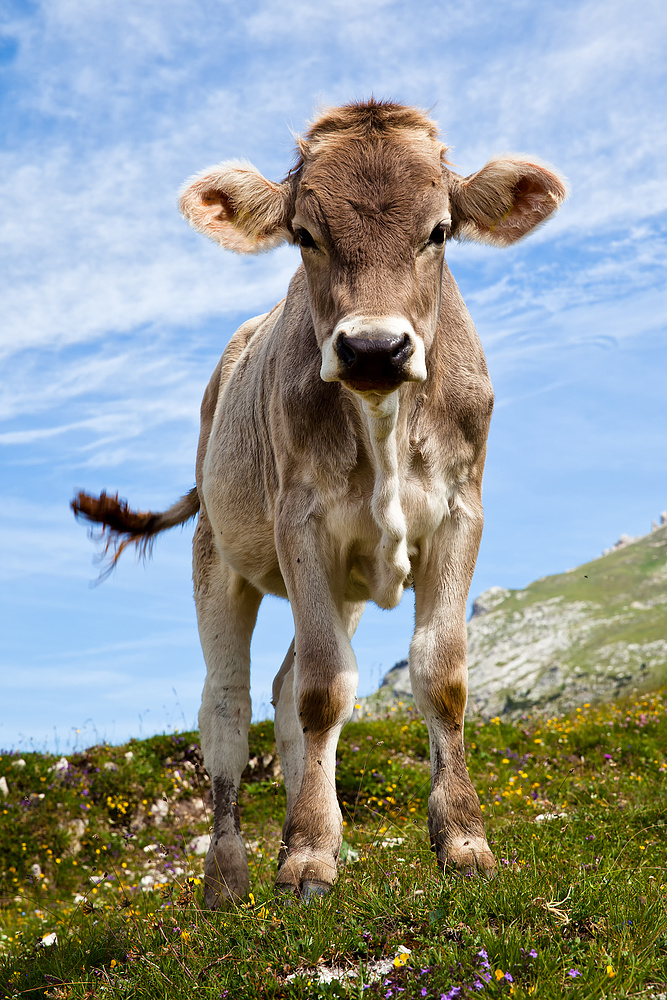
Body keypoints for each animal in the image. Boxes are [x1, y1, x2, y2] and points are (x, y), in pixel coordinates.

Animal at [73, 101, 568, 908]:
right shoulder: (298, 523)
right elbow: (324, 689)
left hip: (349, 584)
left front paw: (460, 839)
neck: (384, 418)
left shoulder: (460, 514)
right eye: (304, 235)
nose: (373, 348)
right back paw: (229, 877)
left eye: (439, 231)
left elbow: (439, 676)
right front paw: (306, 857)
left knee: (280, 691)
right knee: (230, 703)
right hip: (218, 557)